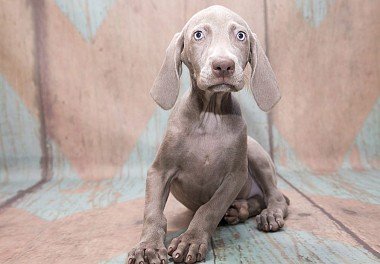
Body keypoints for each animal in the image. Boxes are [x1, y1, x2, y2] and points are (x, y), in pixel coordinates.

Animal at [127, 4, 288, 264]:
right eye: (198, 35)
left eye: (240, 35)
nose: (223, 65)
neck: (210, 115)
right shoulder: (159, 171)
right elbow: (153, 212)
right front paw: (148, 246)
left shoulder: (235, 176)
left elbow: (210, 208)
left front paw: (191, 240)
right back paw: (240, 210)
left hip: (254, 151)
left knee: (277, 196)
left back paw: (269, 214)